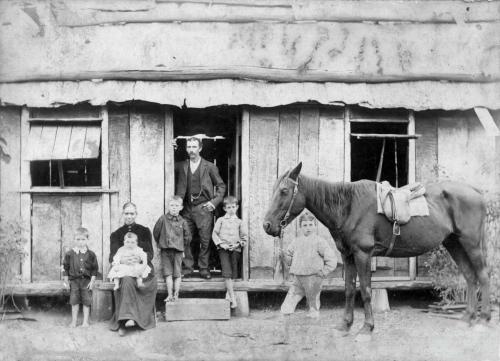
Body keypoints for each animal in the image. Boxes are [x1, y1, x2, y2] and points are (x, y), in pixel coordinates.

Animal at [264, 162, 490, 336]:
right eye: (273, 189)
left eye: (284, 191)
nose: (267, 225)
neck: (348, 206)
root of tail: (476, 192)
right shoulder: (348, 256)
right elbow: (349, 290)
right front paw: (345, 325)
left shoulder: (363, 254)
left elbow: (365, 290)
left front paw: (367, 328)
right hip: (454, 243)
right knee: (470, 277)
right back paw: (467, 318)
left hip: (471, 243)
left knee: (483, 276)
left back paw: (483, 319)